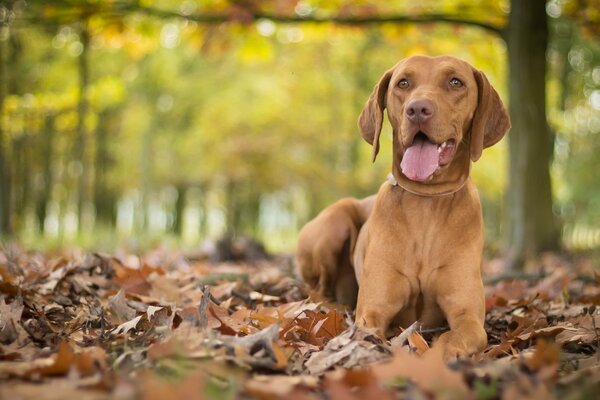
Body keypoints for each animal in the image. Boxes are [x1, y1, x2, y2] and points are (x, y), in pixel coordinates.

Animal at [298, 54, 508, 360]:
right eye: (403, 83)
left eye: (456, 82)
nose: (417, 109)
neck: (426, 201)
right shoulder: (373, 310)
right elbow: (368, 330)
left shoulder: (468, 317)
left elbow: (454, 336)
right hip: (333, 224)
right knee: (319, 289)